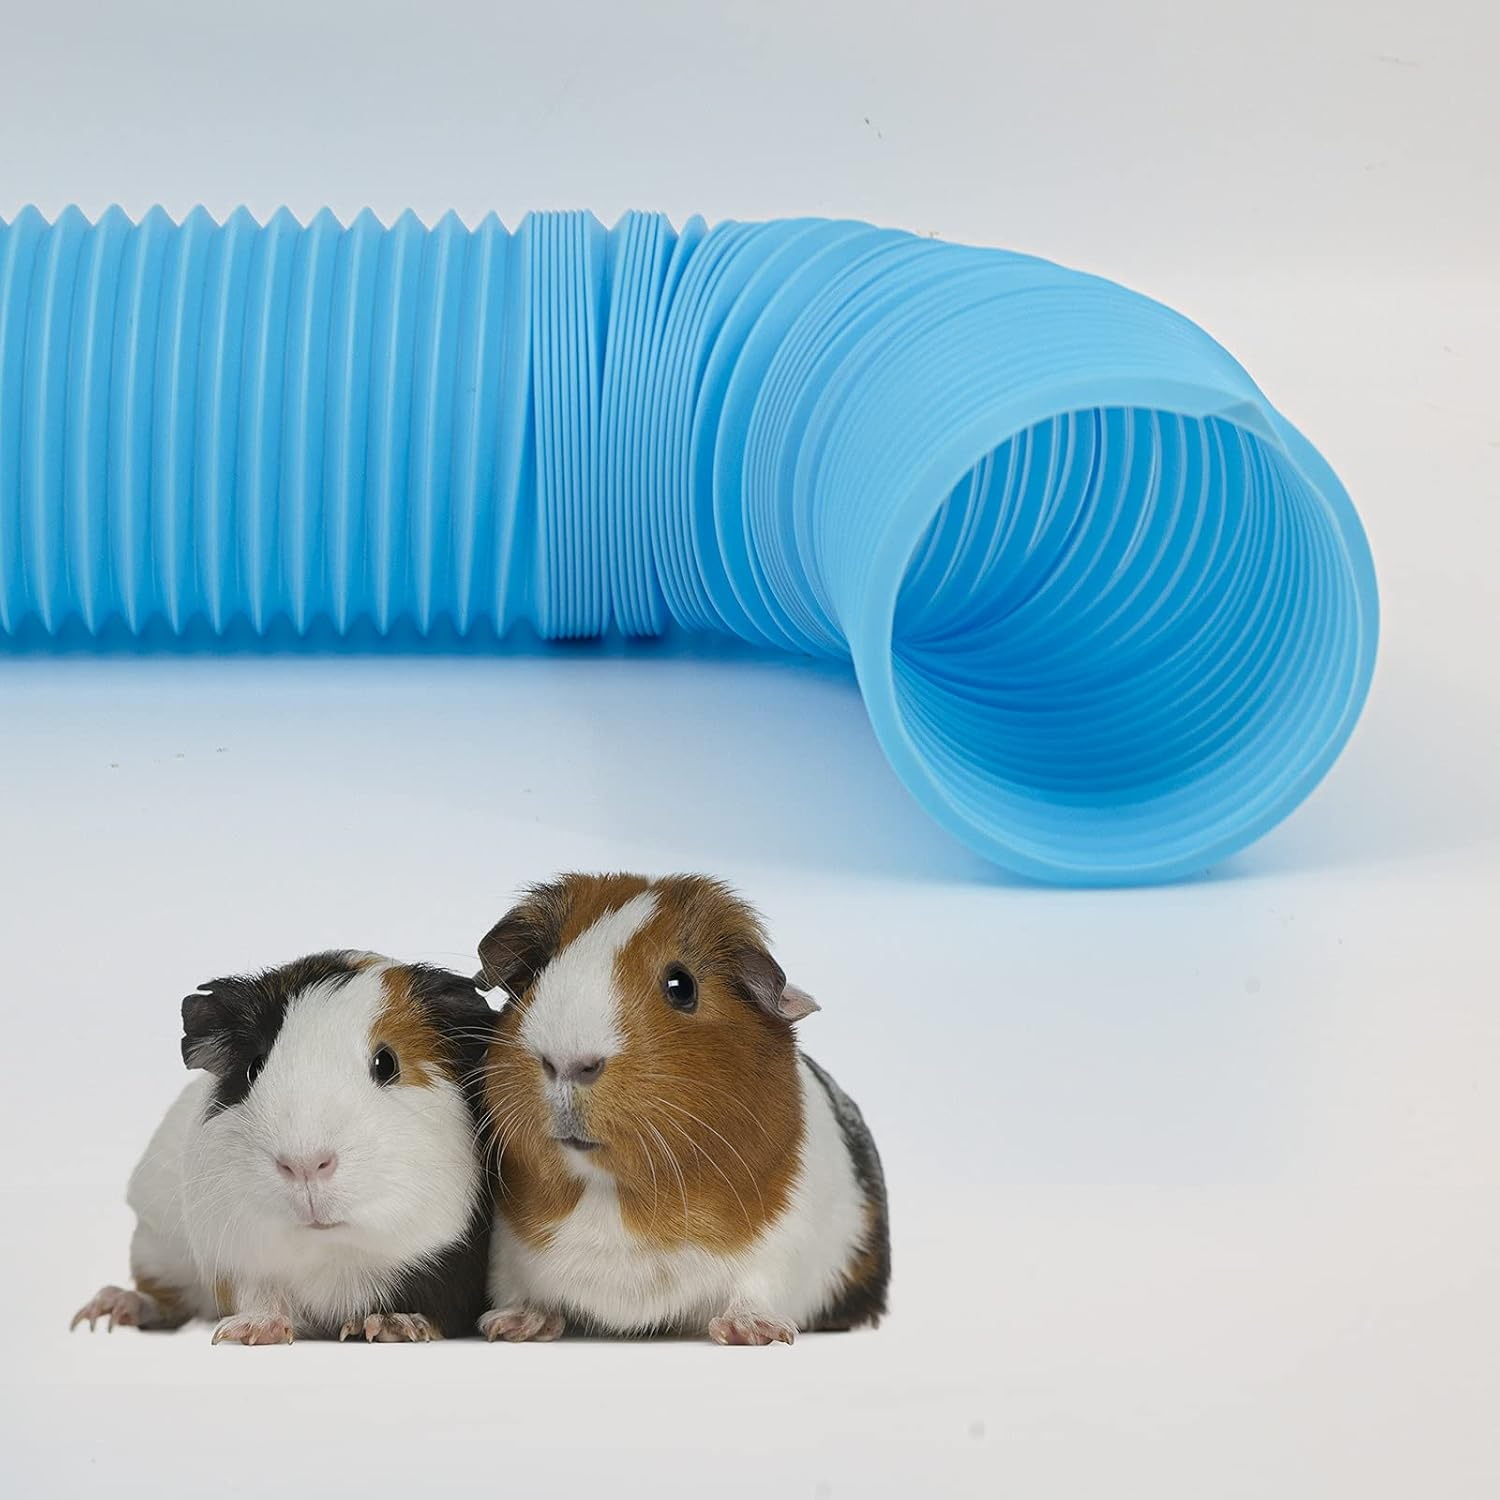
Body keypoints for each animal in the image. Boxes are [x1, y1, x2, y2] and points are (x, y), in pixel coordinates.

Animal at [71, 952, 497, 1343]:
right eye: (254, 1067)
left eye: (387, 1063)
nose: (305, 1164)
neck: (332, 1255)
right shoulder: (238, 1260)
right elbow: (260, 1295)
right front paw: (249, 1332)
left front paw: (391, 1326)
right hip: (156, 1244)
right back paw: (105, 1311)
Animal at [473, 874, 889, 1345]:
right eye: (537, 972)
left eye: (682, 986)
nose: (566, 1062)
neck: (610, 1194)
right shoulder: (506, 1250)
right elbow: (518, 1288)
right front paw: (508, 1326)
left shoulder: (785, 1243)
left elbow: (756, 1287)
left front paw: (753, 1333)